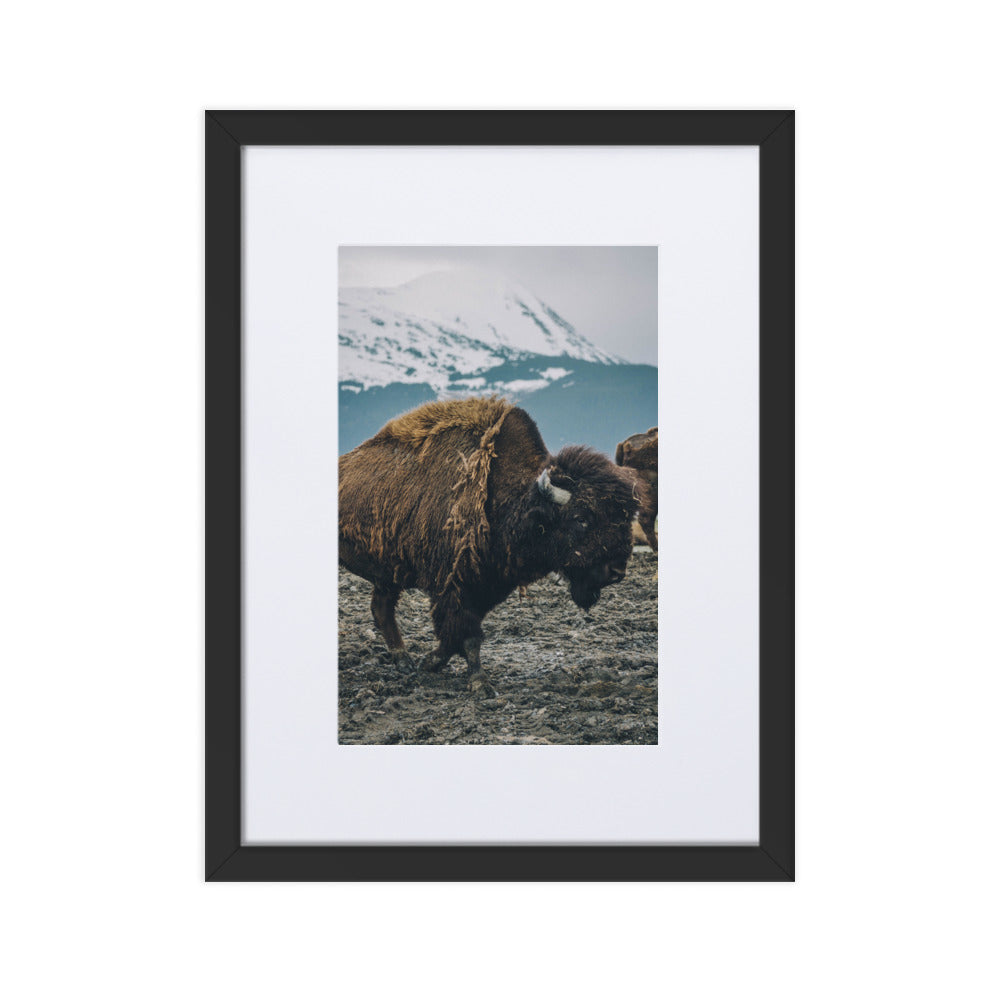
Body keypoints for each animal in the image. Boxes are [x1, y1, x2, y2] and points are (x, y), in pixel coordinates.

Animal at [339, 397, 646, 694]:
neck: (514, 498)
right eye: (581, 518)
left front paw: (430, 662)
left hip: (389, 574)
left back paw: (403, 660)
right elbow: (467, 636)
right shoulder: (456, 588)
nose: (616, 571)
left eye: (624, 517)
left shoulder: (488, 587)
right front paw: (481, 685)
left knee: (382, 609)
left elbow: (454, 637)